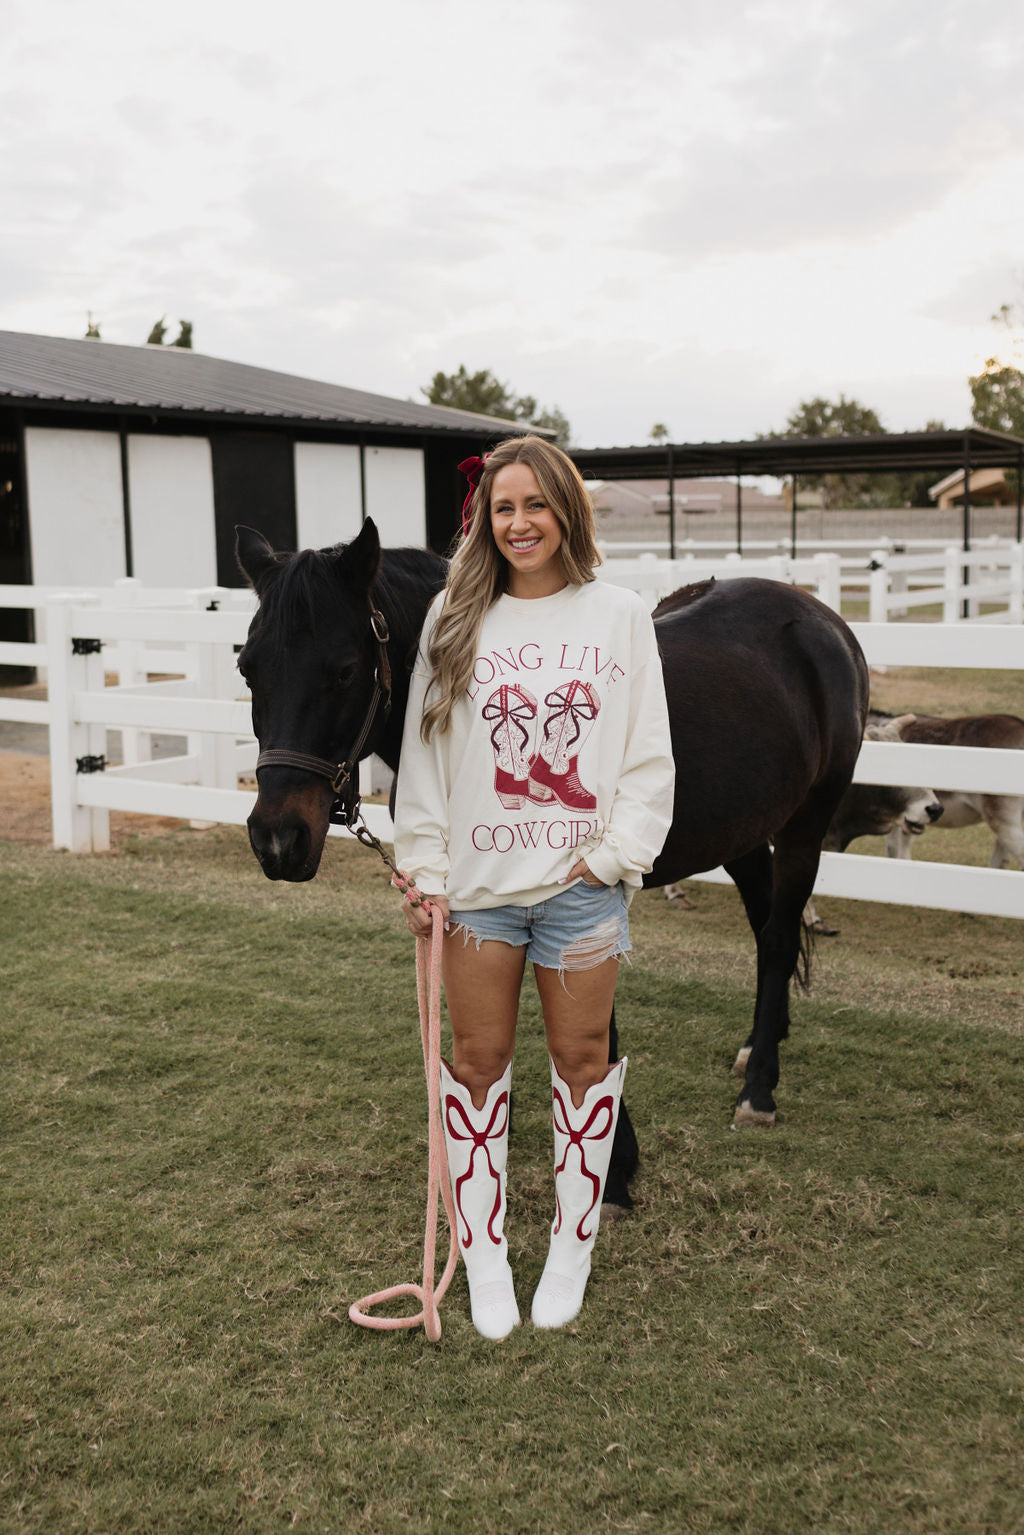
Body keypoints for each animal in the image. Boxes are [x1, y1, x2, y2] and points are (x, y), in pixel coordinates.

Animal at [237, 518, 872, 1197]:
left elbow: (592, 1017)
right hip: (745, 832)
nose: (277, 839)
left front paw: (614, 1166)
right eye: (248, 669)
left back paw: (759, 1090)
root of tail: (819, 618)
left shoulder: (586, 887)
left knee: (778, 936)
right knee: (765, 928)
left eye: (345, 670)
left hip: (807, 823)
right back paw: (760, 1044)